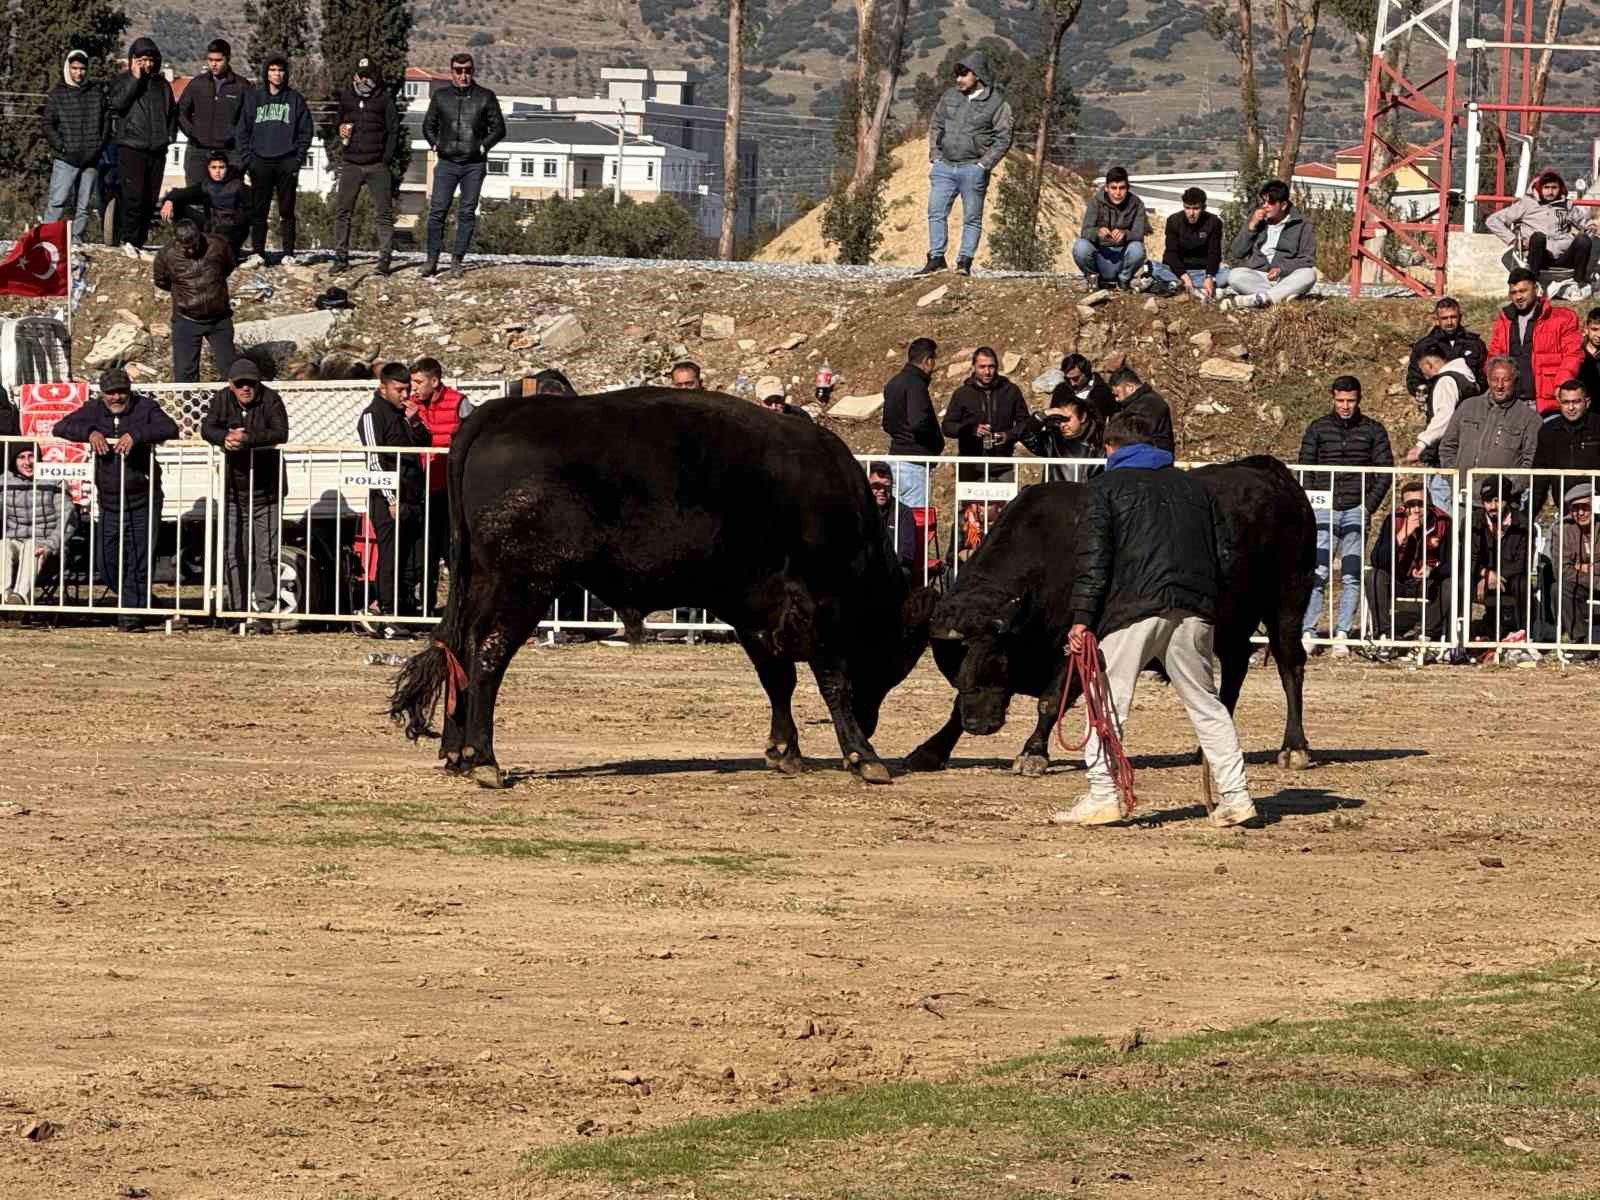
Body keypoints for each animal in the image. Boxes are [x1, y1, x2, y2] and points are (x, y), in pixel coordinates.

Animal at [390, 387, 934, 790]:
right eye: (900, 652)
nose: (873, 721)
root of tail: (501, 411)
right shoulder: (813, 610)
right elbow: (830, 681)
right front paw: (863, 755)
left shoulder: (756, 614)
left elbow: (778, 680)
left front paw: (785, 751)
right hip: (522, 585)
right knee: (488, 653)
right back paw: (484, 760)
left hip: (482, 583)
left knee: (458, 647)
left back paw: (456, 753)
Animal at [908, 454, 1318, 784]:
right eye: (953, 663)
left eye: (994, 657)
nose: (979, 724)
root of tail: (1272, 475)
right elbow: (955, 709)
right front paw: (930, 750)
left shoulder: (1074, 646)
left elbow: (1050, 700)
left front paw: (1033, 752)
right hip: (1231, 623)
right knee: (1234, 667)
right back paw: (1207, 748)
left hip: (1288, 600)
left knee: (1290, 664)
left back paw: (1294, 747)